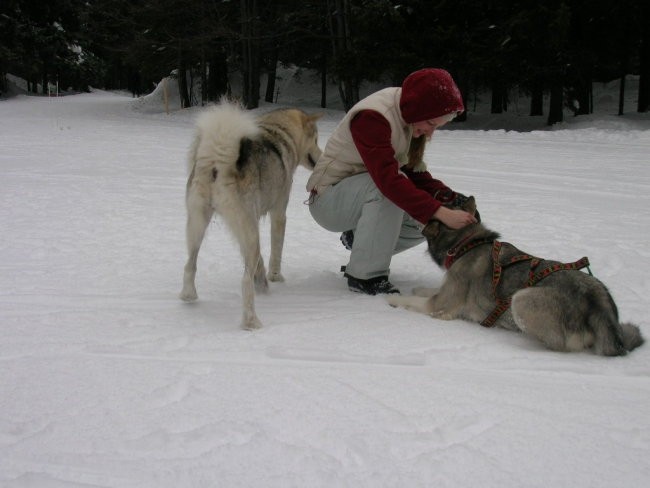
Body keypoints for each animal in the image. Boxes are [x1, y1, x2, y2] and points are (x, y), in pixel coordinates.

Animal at [178, 102, 320, 332]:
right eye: (315, 140)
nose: (322, 155)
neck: (279, 132)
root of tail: (218, 162)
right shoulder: (278, 215)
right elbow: (276, 252)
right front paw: (275, 278)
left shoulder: (248, 224)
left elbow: (259, 259)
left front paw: (263, 282)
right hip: (249, 232)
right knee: (244, 282)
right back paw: (251, 322)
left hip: (198, 227)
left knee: (190, 265)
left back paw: (189, 296)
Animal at [384, 197, 644, 354]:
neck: (466, 242)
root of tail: (599, 304)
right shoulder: (445, 289)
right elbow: (425, 290)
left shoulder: (439, 304)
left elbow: (414, 300)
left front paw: (393, 299)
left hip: (521, 299)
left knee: (557, 346)